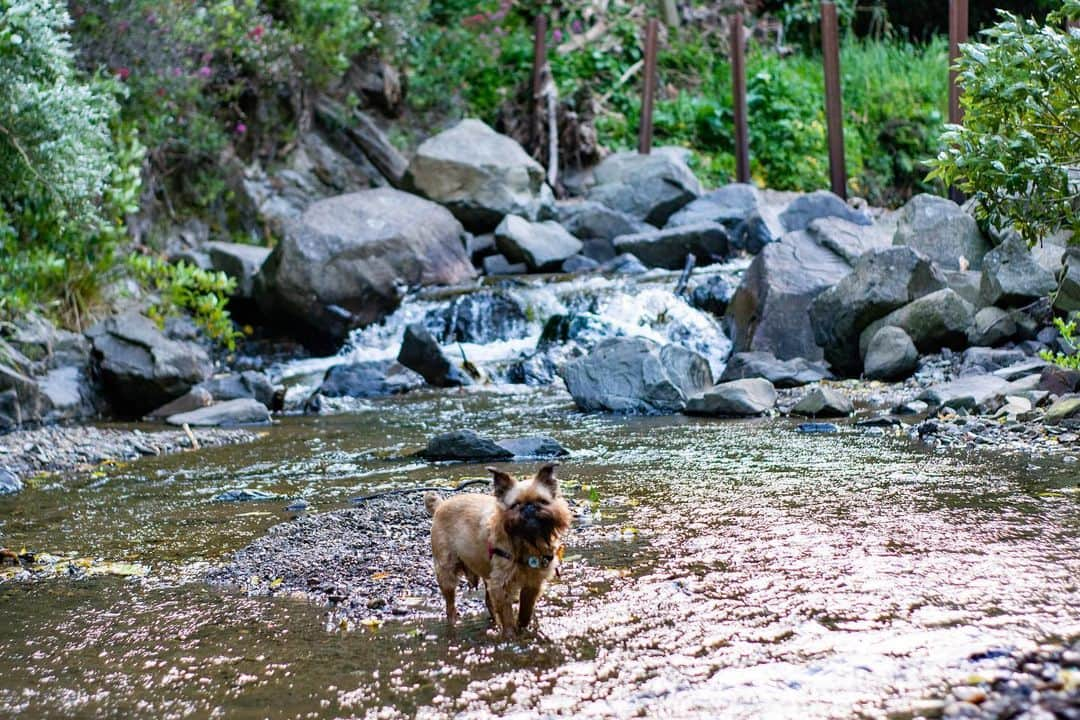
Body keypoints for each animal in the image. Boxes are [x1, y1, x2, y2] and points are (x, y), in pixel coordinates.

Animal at [423, 462, 574, 634]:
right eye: (516, 505)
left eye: (542, 501)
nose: (529, 508)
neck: (527, 542)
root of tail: (441, 505)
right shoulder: (501, 585)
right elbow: (507, 616)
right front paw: (511, 634)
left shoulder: (532, 584)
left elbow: (525, 611)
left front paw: (523, 628)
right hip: (447, 572)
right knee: (450, 606)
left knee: (488, 602)